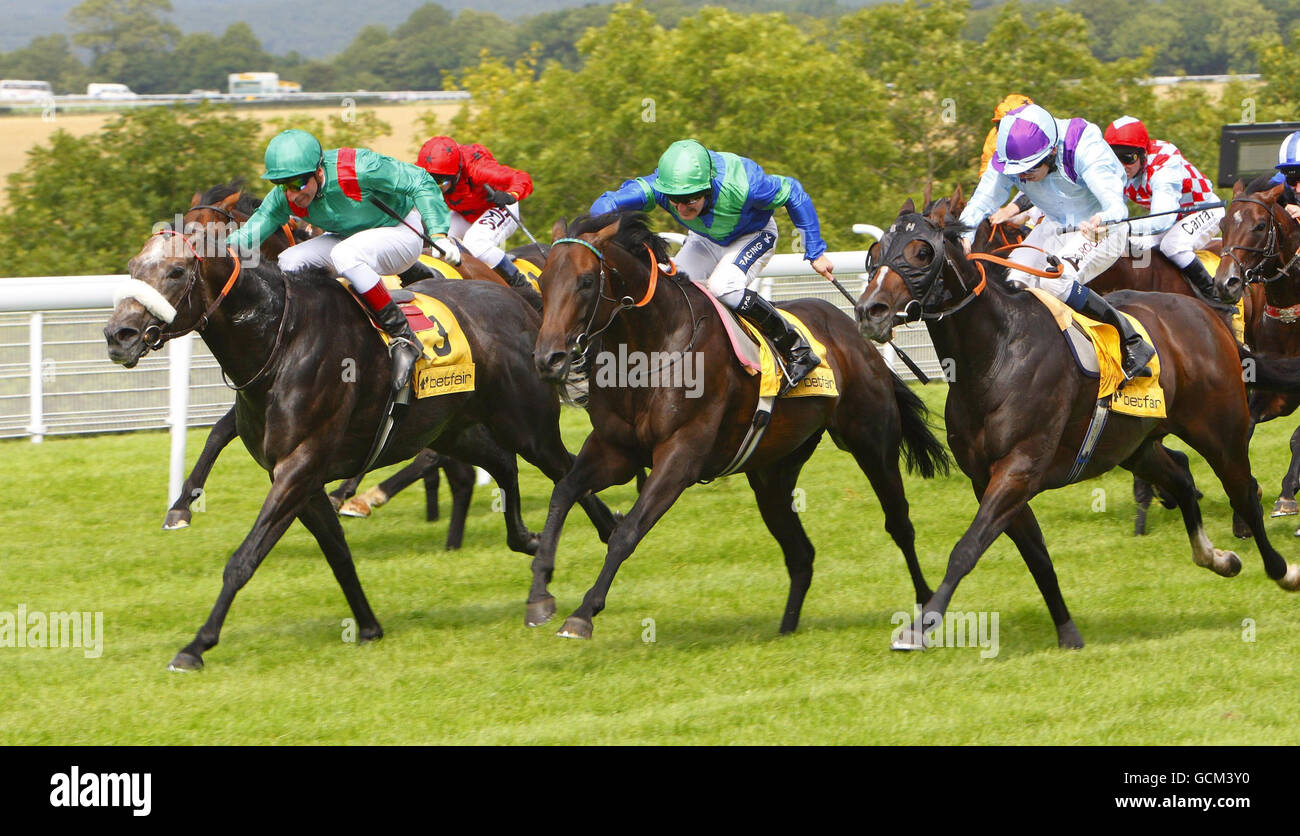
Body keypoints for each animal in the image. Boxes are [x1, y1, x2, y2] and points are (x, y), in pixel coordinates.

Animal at [101, 210, 618, 676]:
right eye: (133, 266)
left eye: (175, 271)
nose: (117, 334)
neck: (281, 339)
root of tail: (523, 301)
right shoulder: (299, 477)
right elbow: (337, 553)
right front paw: (368, 626)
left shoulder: (300, 466)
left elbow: (244, 559)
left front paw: (196, 645)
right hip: (456, 427)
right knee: (503, 466)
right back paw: (530, 538)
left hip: (526, 425)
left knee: (564, 470)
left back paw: (591, 547)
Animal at [522, 214, 951, 642]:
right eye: (543, 280)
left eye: (585, 281)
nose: (548, 358)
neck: (653, 347)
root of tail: (855, 335)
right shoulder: (615, 450)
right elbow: (563, 493)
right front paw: (540, 593)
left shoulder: (680, 456)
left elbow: (627, 531)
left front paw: (582, 614)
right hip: (773, 472)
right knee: (801, 553)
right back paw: (786, 628)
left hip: (872, 444)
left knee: (899, 524)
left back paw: (925, 607)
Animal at [857, 189, 1294, 655]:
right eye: (875, 252)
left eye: (921, 252)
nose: (869, 310)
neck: (995, 353)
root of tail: (1209, 315)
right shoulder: (987, 477)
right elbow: (1036, 555)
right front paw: (1068, 631)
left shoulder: (1019, 468)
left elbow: (968, 546)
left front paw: (921, 625)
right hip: (1134, 446)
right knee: (1180, 479)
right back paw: (1217, 558)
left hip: (1220, 430)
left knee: (1244, 493)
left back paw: (1282, 570)